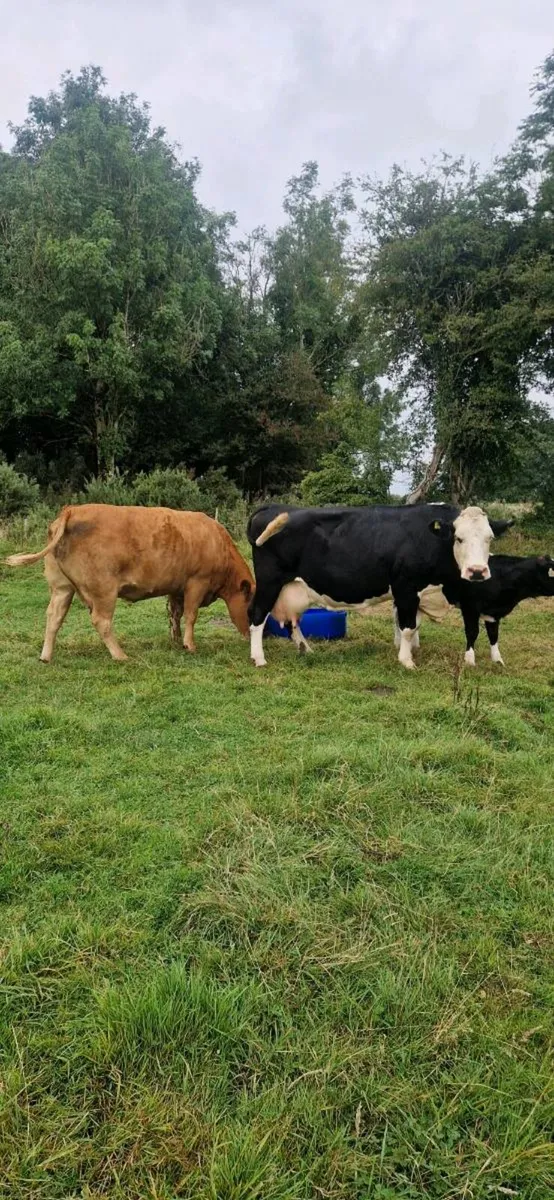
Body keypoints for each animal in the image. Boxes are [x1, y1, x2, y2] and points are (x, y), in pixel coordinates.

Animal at [5, 504, 254, 662]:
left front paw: (175, 640)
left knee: (54, 617)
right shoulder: (197, 581)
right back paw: (120, 655)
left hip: (61, 587)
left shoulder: (177, 588)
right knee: (101, 621)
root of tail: (73, 510)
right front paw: (189, 645)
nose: (254, 636)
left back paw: (46, 656)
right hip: (104, 590)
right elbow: (191, 615)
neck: (217, 542)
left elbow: (175, 615)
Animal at [246, 503, 513, 669]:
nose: (477, 571)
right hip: (269, 582)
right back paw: (259, 658)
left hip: (292, 587)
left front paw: (411, 650)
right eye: (459, 538)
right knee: (256, 615)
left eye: (490, 538)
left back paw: (305, 649)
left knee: (292, 621)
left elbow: (413, 626)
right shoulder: (406, 588)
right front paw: (406, 660)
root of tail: (274, 507)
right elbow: (408, 627)